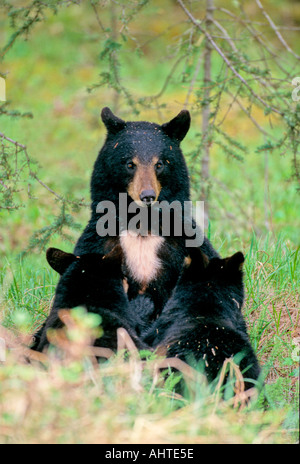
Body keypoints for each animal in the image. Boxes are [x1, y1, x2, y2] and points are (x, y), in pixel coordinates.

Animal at [72, 106, 218, 316]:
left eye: (160, 164)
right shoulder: (98, 243)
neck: (142, 223)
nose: (147, 196)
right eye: (130, 164)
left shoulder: (182, 244)